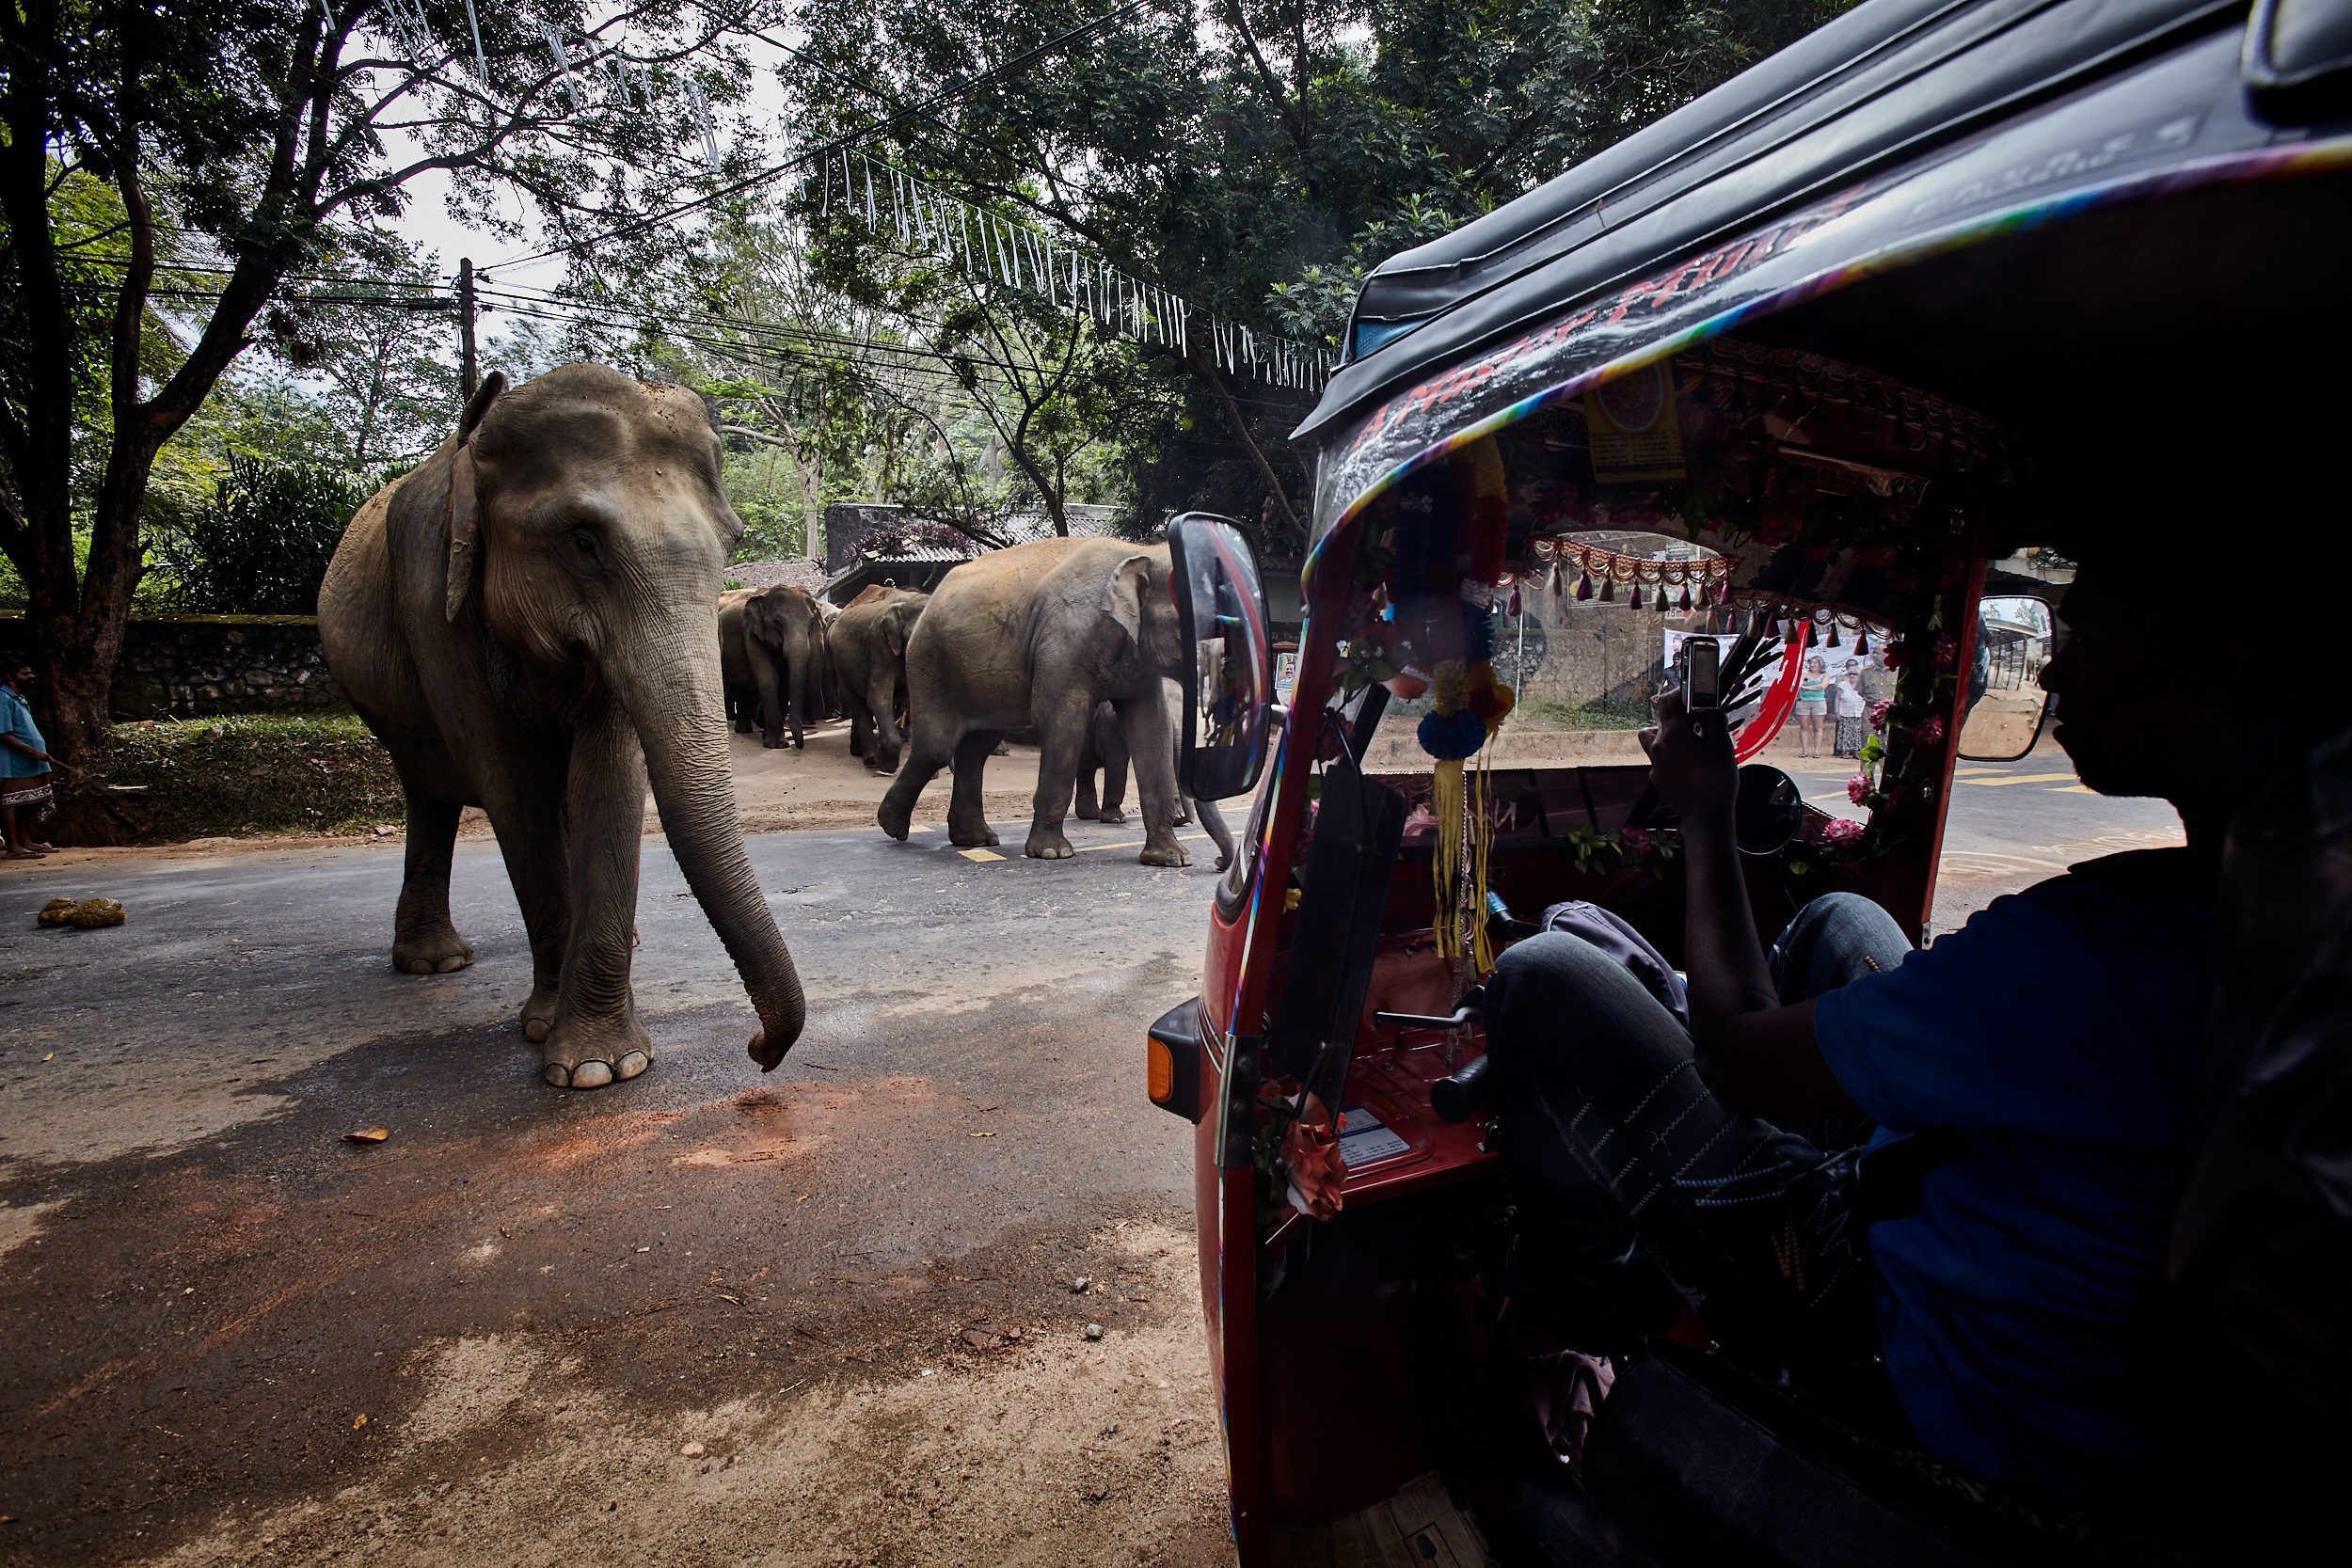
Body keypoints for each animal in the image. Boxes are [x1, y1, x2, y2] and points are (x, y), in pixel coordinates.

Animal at [317, 359, 809, 1085]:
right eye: (582, 542)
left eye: (732, 542)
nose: (758, 1051)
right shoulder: (438, 607)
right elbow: (514, 789)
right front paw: (573, 1052)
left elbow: (608, 777)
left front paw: (605, 1060)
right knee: (429, 792)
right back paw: (435, 962)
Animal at [715, 585, 828, 752]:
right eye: (778, 622)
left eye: (811, 622)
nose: (800, 746)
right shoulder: (750, 632)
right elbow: (768, 676)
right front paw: (776, 745)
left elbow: (785, 681)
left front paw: (768, 736)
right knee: (738, 686)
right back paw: (743, 730)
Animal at [828, 585, 927, 770]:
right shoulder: (880, 645)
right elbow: (877, 697)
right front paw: (885, 764)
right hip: (839, 663)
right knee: (857, 703)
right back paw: (869, 757)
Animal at [880, 535, 1195, 860]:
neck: (1139, 552)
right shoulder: (1062, 644)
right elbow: (1063, 722)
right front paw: (1052, 853)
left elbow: (1152, 727)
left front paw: (1172, 858)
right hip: (929, 664)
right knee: (937, 748)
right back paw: (893, 827)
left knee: (976, 749)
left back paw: (973, 839)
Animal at [1077, 700, 1242, 869]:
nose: (1218, 860)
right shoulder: (1108, 727)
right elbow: (1117, 762)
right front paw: (1116, 820)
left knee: (1085, 771)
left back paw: (1091, 815)